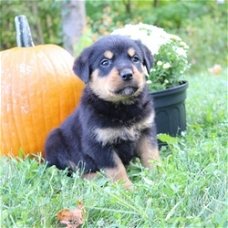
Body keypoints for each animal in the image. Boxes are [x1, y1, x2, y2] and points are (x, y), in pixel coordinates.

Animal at [45, 35, 160, 189]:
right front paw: (126, 188)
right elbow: (116, 168)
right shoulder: (98, 143)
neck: (122, 107)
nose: (127, 74)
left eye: (135, 59)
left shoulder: (146, 131)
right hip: (55, 142)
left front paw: (159, 174)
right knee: (74, 172)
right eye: (105, 62)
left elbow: (151, 155)